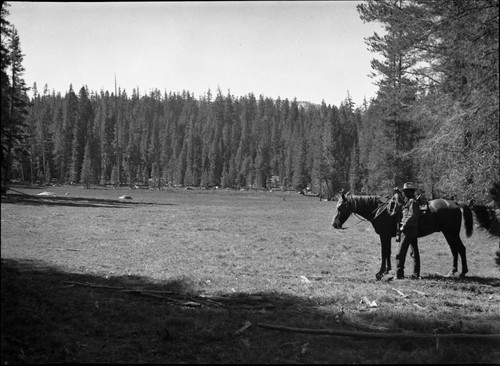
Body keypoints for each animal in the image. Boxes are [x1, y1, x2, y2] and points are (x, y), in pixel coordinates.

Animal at [332, 192, 472, 280]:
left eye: (340, 208)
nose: (334, 224)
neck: (379, 210)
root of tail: (455, 203)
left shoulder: (384, 235)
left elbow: (384, 252)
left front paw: (380, 273)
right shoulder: (386, 236)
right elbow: (388, 252)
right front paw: (387, 270)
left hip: (452, 232)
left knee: (461, 248)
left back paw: (463, 272)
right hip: (447, 233)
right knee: (454, 249)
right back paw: (452, 271)